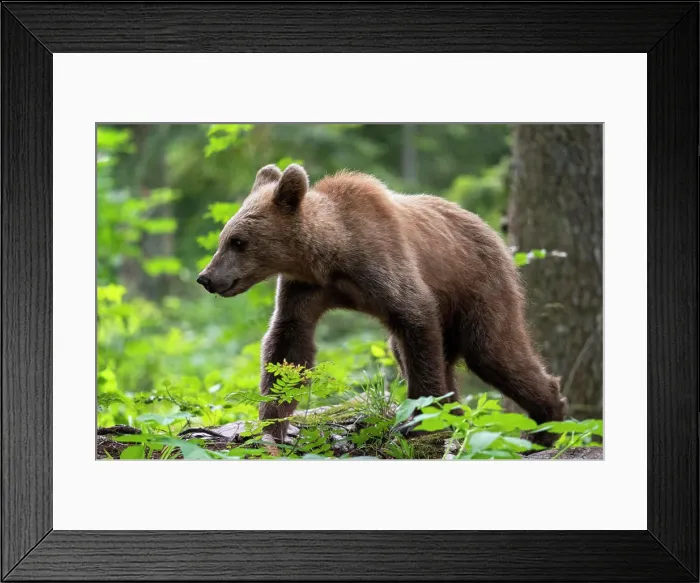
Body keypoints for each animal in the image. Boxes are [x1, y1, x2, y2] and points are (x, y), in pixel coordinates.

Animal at [197, 163, 568, 445]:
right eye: (223, 238)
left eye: (238, 241)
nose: (207, 278)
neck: (332, 254)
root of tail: (492, 231)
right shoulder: (305, 290)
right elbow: (288, 345)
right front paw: (273, 427)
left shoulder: (385, 263)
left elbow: (415, 320)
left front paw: (421, 423)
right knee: (423, 353)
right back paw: (459, 414)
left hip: (478, 286)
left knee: (493, 350)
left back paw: (546, 423)